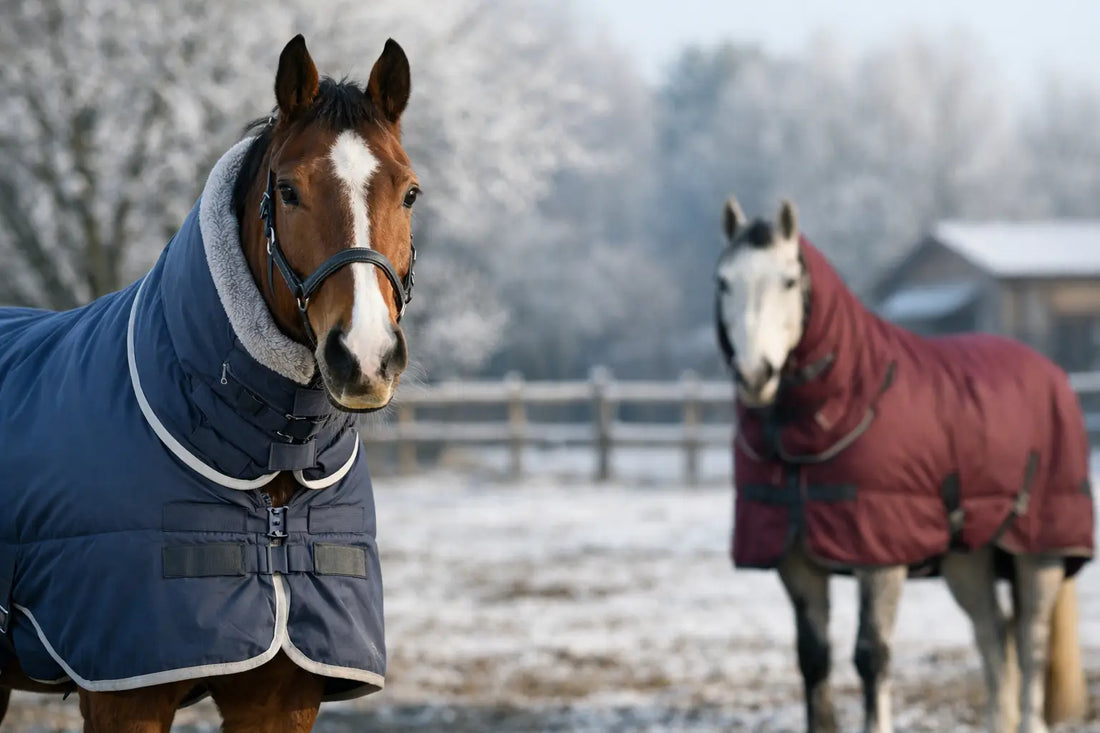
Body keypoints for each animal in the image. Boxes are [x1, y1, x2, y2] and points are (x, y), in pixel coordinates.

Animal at [714, 197, 1094, 733]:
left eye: (788, 281)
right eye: (723, 281)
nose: (754, 375)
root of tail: (1054, 374)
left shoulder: (880, 560)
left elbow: (872, 656)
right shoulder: (796, 560)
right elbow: (813, 659)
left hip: (1039, 553)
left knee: (1031, 645)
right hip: (967, 560)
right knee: (994, 637)